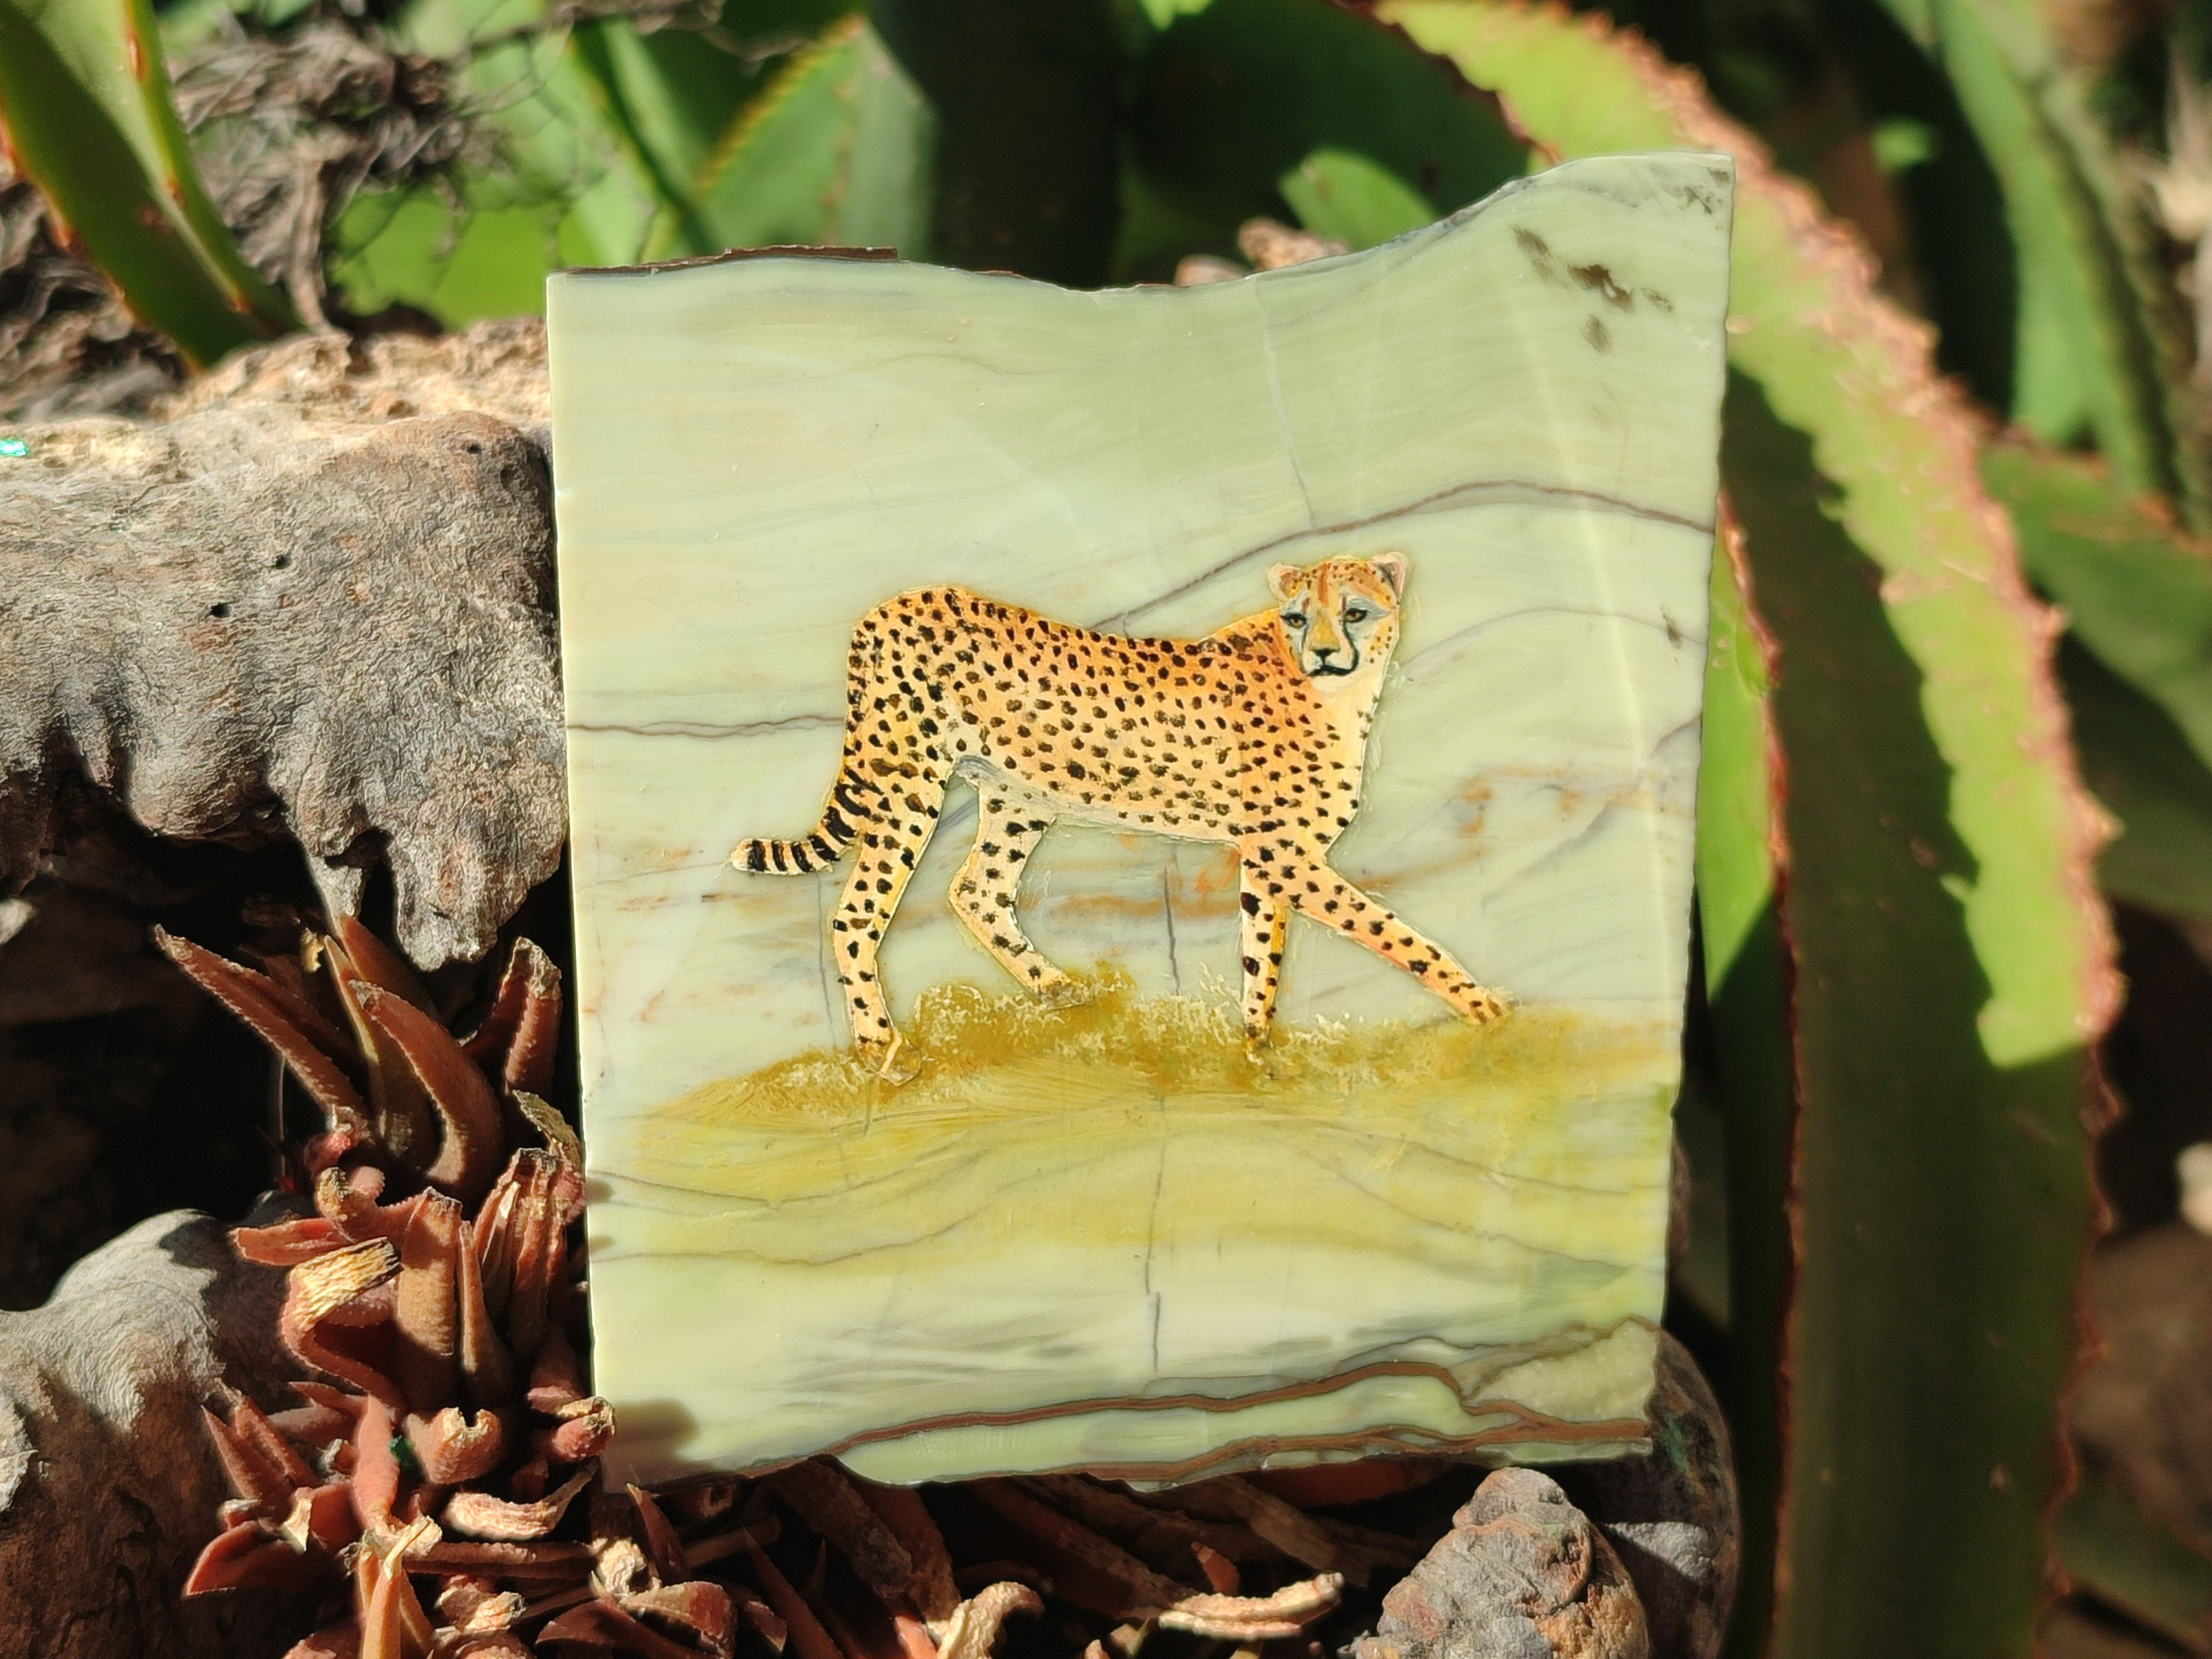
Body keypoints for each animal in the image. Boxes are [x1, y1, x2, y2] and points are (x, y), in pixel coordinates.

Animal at [734, 551, 1507, 1080]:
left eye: (1353, 612)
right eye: (1298, 616)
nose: (1322, 653)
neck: (1338, 695)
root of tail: (899, 600)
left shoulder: (1267, 861)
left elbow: (1262, 955)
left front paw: (1257, 1051)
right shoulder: (1289, 857)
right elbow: (1397, 934)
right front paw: (1487, 1011)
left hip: (1020, 796)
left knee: (978, 889)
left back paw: (1064, 994)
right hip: (909, 787)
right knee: (858, 911)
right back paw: (881, 1050)